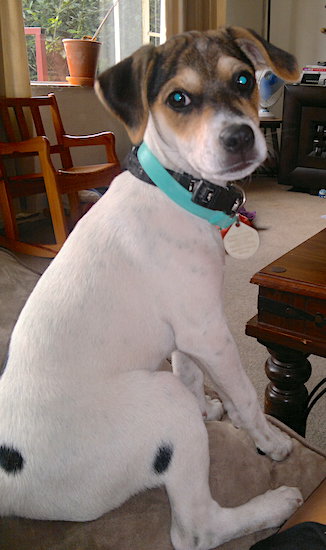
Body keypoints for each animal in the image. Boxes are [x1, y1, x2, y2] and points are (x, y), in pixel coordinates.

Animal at [0, 28, 302, 550]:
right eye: (178, 99)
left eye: (244, 79)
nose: (241, 137)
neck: (177, 192)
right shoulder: (208, 332)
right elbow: (245, 398)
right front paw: (269, 440)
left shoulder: (188, 333)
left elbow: (192, 375)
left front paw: (209, 408)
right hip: (161, 399)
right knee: (194, 530)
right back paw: (275, 504)